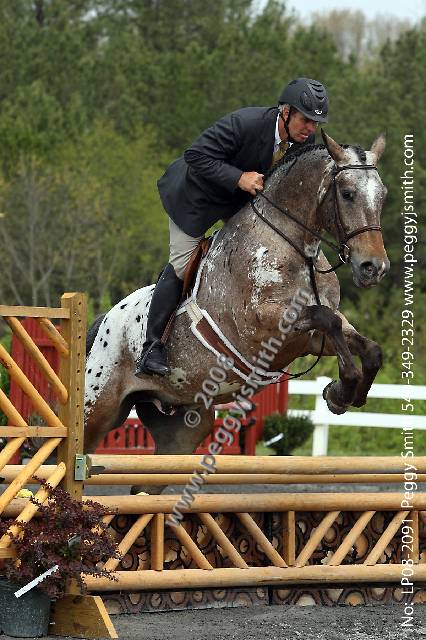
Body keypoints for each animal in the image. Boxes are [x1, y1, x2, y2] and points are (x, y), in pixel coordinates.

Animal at [84, 130, 389, 486]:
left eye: (382, 196)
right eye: (347, 193)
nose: (374, 268)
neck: (294, 247)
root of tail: (103, 322)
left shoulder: (308, 338)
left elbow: (367, 347)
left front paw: (340, 395)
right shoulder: (264, 326)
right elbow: (327, 319)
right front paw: (342, 389)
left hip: (184, 428)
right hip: (97, 410)